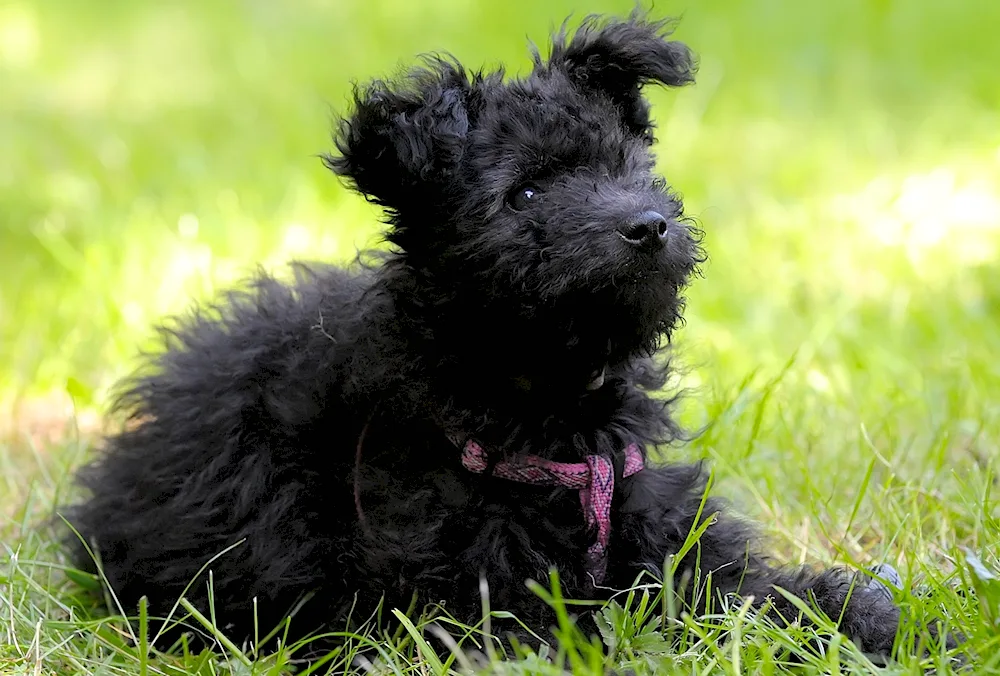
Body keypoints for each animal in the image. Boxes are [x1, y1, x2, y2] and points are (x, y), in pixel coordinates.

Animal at [66, 13, 904, 660]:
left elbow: (756, 596)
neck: (557, 411)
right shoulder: (482, 600)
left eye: (626, 167)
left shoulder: (668, 536)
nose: (648, 226)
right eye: (525, 194)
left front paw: (876, 620)